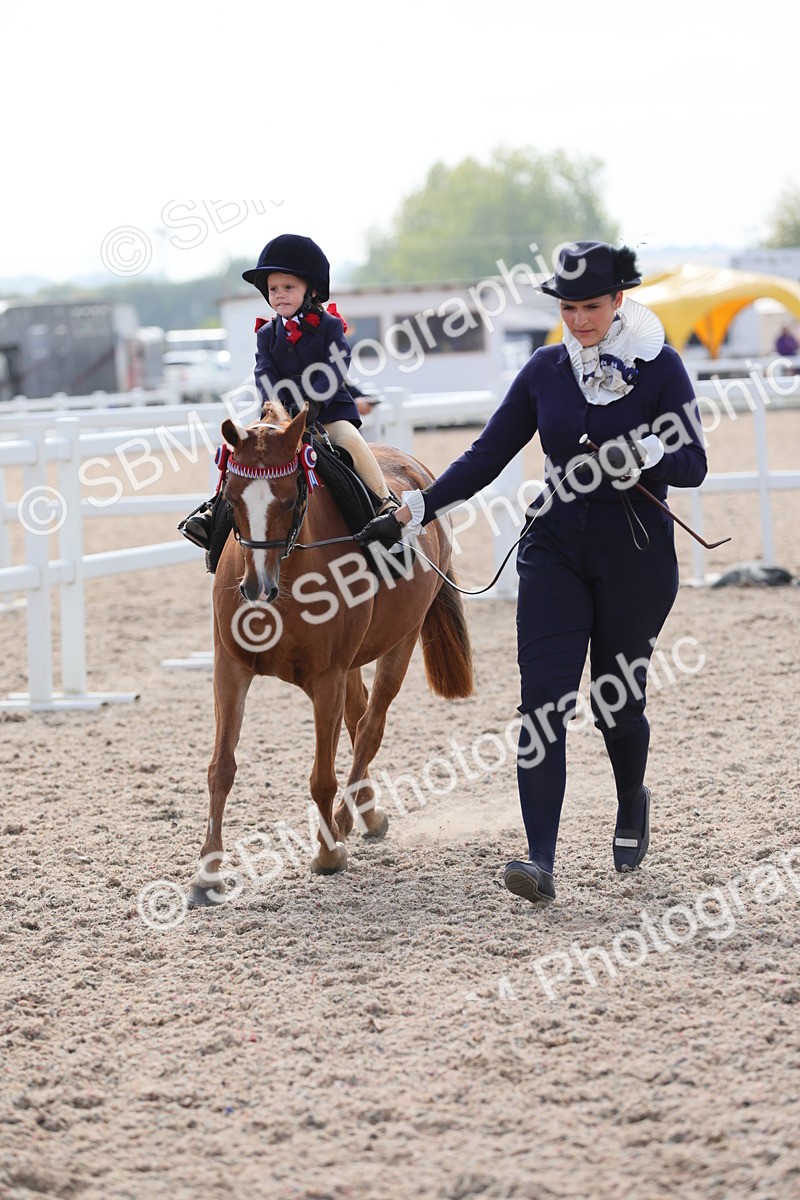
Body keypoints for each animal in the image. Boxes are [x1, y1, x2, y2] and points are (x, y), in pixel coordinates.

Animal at [190, 399, 475, 904]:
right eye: (234, 498)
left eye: (289, 500)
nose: (256, 589)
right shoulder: (230, 669)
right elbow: (221, 768)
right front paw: (208, 873)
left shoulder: (327, 679)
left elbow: (322, 776)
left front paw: (326, 853)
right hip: (355, 661)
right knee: (359, 718)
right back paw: (368, 813)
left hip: (399, 645)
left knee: (370, 727)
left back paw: (345, 822)